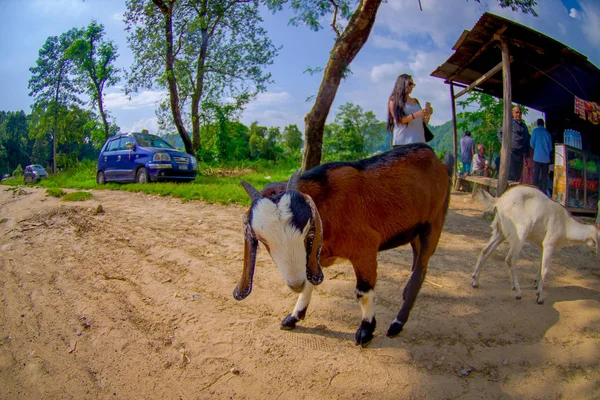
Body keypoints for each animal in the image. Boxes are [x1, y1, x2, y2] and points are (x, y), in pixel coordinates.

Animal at [232, 144, 452, 346]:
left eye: (308, 229)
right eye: (262, 239)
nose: (294, 284)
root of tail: (437, 160)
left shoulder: (365, 248)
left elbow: (363, 292)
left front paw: (366, 330)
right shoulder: (314, 259)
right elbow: (310, 282)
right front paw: (294, 316)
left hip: (434, 224)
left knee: (420, 271)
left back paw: (397, 324)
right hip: (415, 232)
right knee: (418, 264)